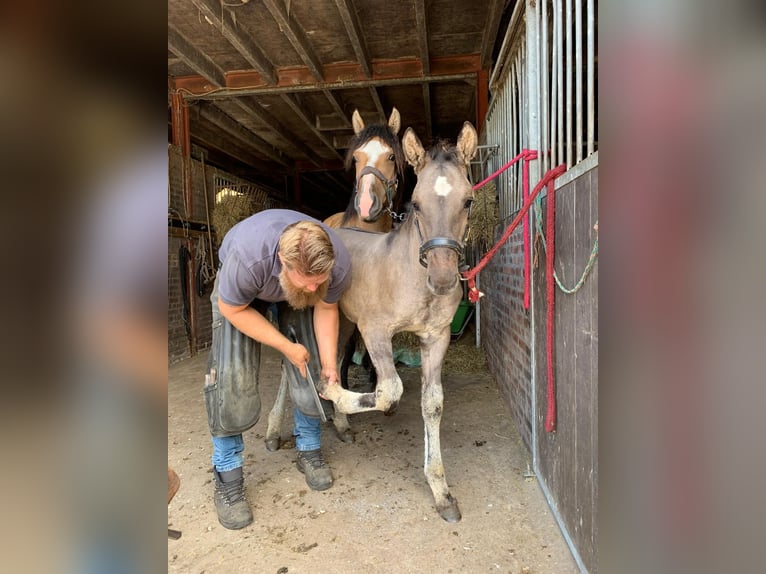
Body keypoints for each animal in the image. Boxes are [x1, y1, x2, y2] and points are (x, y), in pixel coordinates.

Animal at [269, 121, 479, 522]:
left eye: (469, 200)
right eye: (416, 203)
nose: (444, 279)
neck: (408, 273)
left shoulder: (435, 337)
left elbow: (433, 403)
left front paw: (441, 491)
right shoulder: (375, 331)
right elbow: (389, 391)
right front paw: (332, 395)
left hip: (342, 320)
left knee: (333, 356)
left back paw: (341, 424)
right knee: (290, 364)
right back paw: (276, 428)